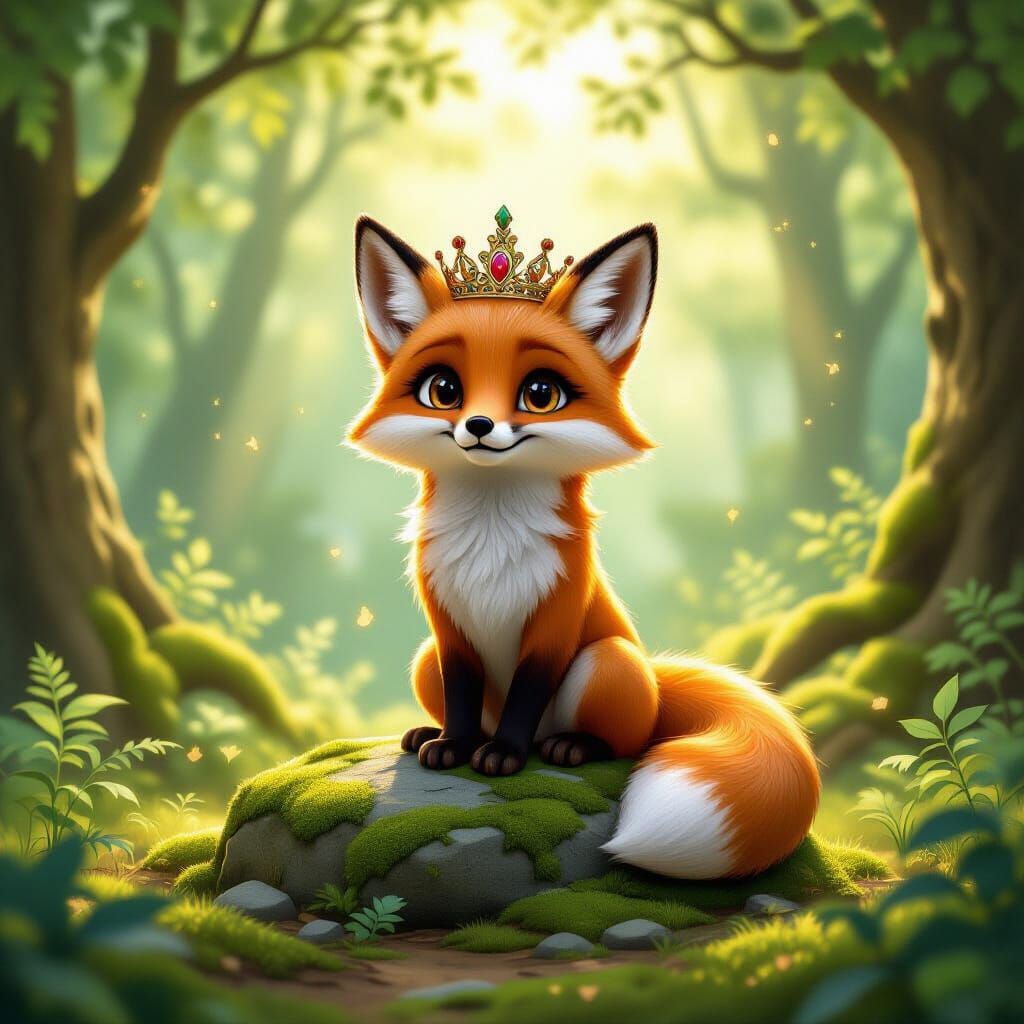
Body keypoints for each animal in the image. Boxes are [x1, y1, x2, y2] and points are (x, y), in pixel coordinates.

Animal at [346, 209, 820, 879]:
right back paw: (427, 736)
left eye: (540, 394)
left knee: (626, 740)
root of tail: (655, 682)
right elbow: (462, 697)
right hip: (422, 659)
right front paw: (455, 747)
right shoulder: (449, 626)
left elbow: (526, 694)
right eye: (444, 390)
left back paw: (568, 746)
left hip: (609, 661)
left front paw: (504, 756)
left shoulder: (556, 617)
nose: (479, 426)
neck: (491, 539)